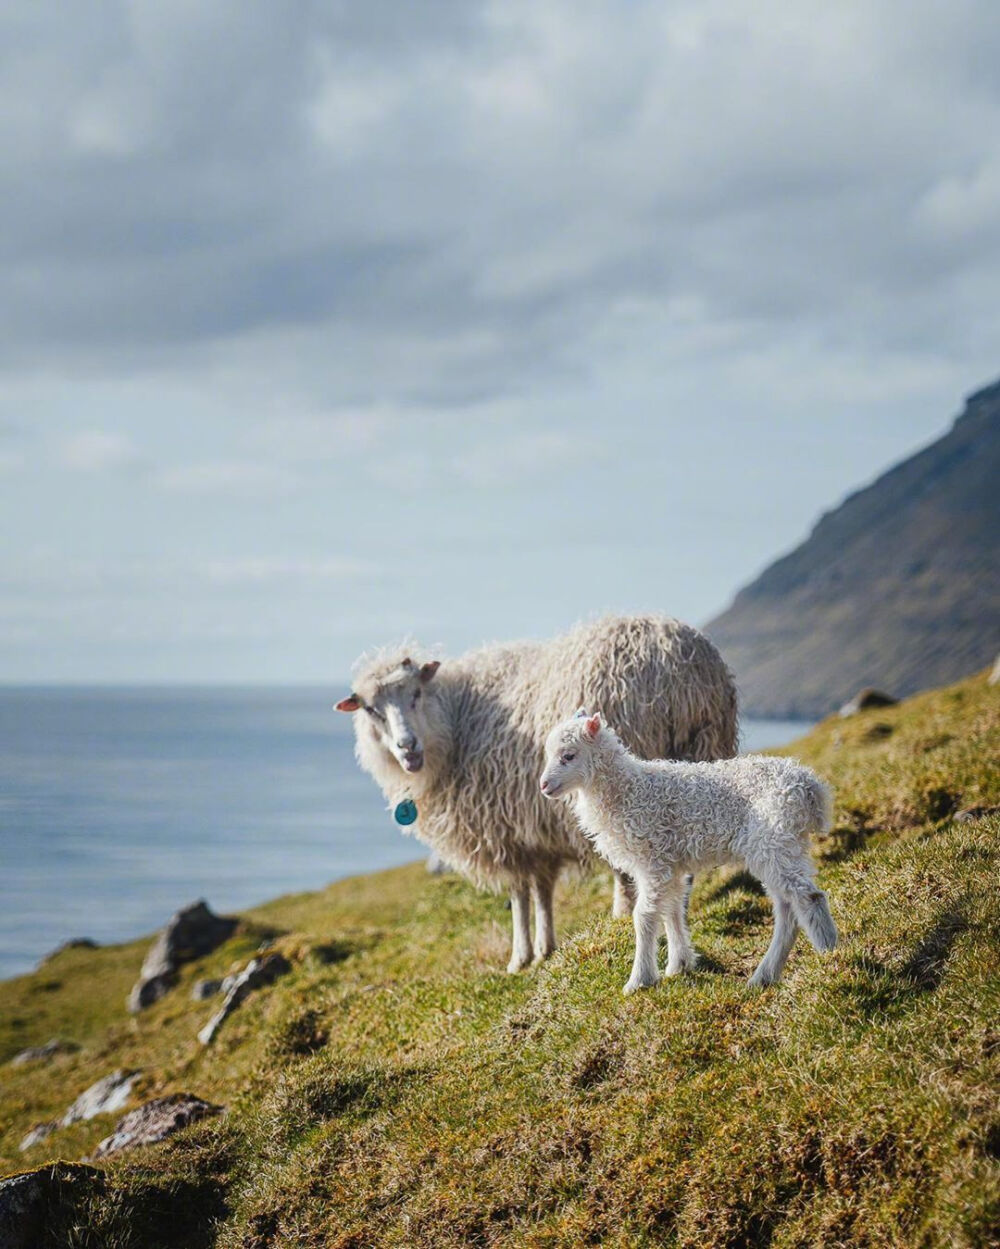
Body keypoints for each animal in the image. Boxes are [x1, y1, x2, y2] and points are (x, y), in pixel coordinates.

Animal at [334, 614, 734, 974]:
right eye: (370, 709)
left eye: (416, 693)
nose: (407, 748)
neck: (455, 722)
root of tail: (680, 662)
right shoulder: (534, 833)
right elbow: (541, 891)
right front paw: (545, 947)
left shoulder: (504, 832)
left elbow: (519, 895)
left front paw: (520, 957)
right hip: (701, 751)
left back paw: (625, 913)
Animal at [539, 714, 833, 994]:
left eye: (568, 755)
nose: (543, 785)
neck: (628, 790)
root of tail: (809, 786)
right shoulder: (671, 865)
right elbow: (672, 909)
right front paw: (679, 964)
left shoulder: (653, 861)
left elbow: (644, 916)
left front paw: (639, 980)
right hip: (781, 846)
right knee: (787, 908)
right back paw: (765, 976)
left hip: (774, 840)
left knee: (808, 898)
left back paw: (829, 956)